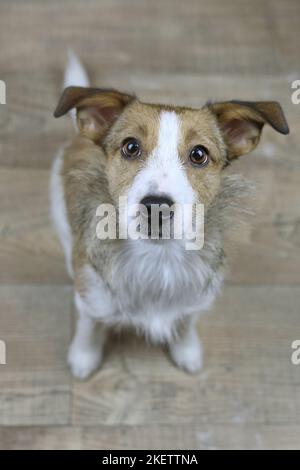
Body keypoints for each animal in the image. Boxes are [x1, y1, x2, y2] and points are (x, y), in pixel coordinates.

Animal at [50, 53, 290, 380]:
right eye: (130, 146)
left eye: (199, 154)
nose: (156, 206)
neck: (158, 257)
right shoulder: (92, 298)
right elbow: (90, 325)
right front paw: (84, 357)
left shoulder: (195, 300)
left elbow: (186, 323)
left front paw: (187, 351)